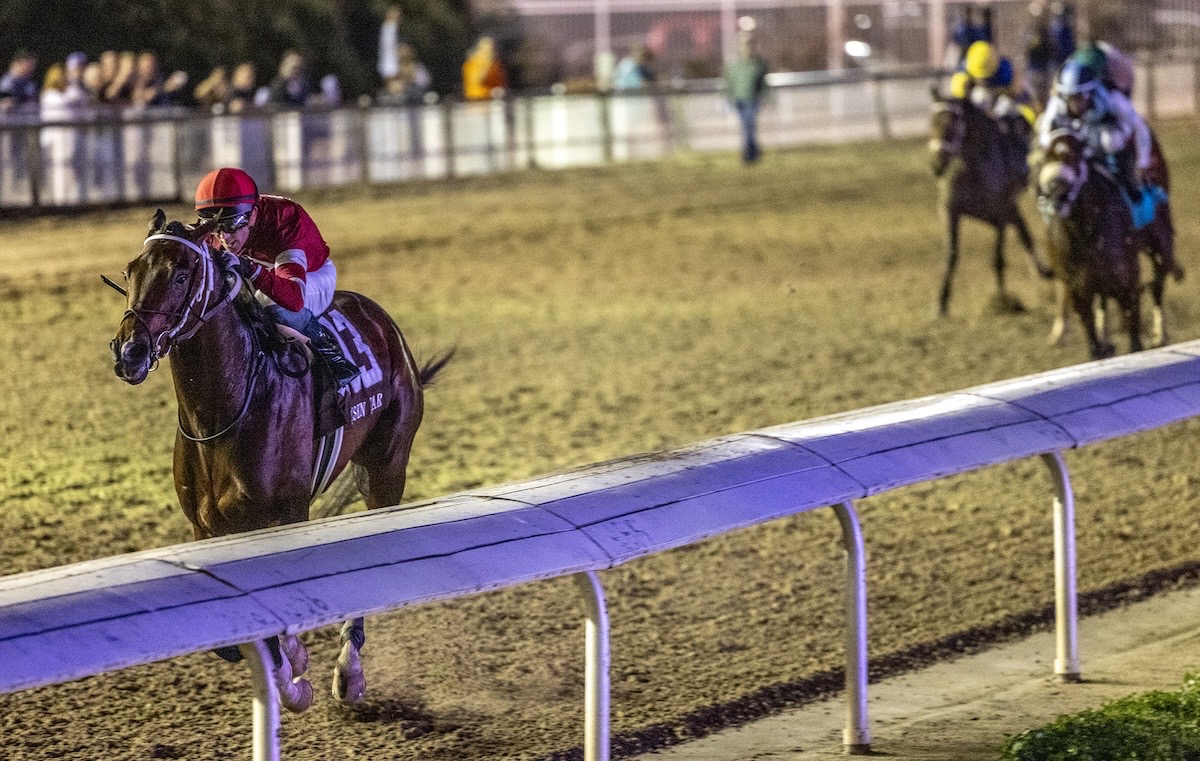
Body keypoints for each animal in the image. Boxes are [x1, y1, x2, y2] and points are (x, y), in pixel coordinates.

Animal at [110, 212, 451, 710]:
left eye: (180, 275)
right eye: (131, 271)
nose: (129, 351)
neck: (224, 409)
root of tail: (381, 319)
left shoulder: (286, 514)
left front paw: (296, 673)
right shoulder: (204, 526)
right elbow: (233, 643)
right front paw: (285, 665)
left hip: (387, 466)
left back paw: (349, 670)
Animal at [926, 89, 1051, 314]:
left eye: (954, 122)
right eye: (931, 121)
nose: (936, 164)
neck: (972, 166)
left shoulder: (1000, 213)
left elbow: (998, 257)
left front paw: (1002, 301)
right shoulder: (950, 211)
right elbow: (951, 255)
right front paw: (941, 302)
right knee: (1023, 231)